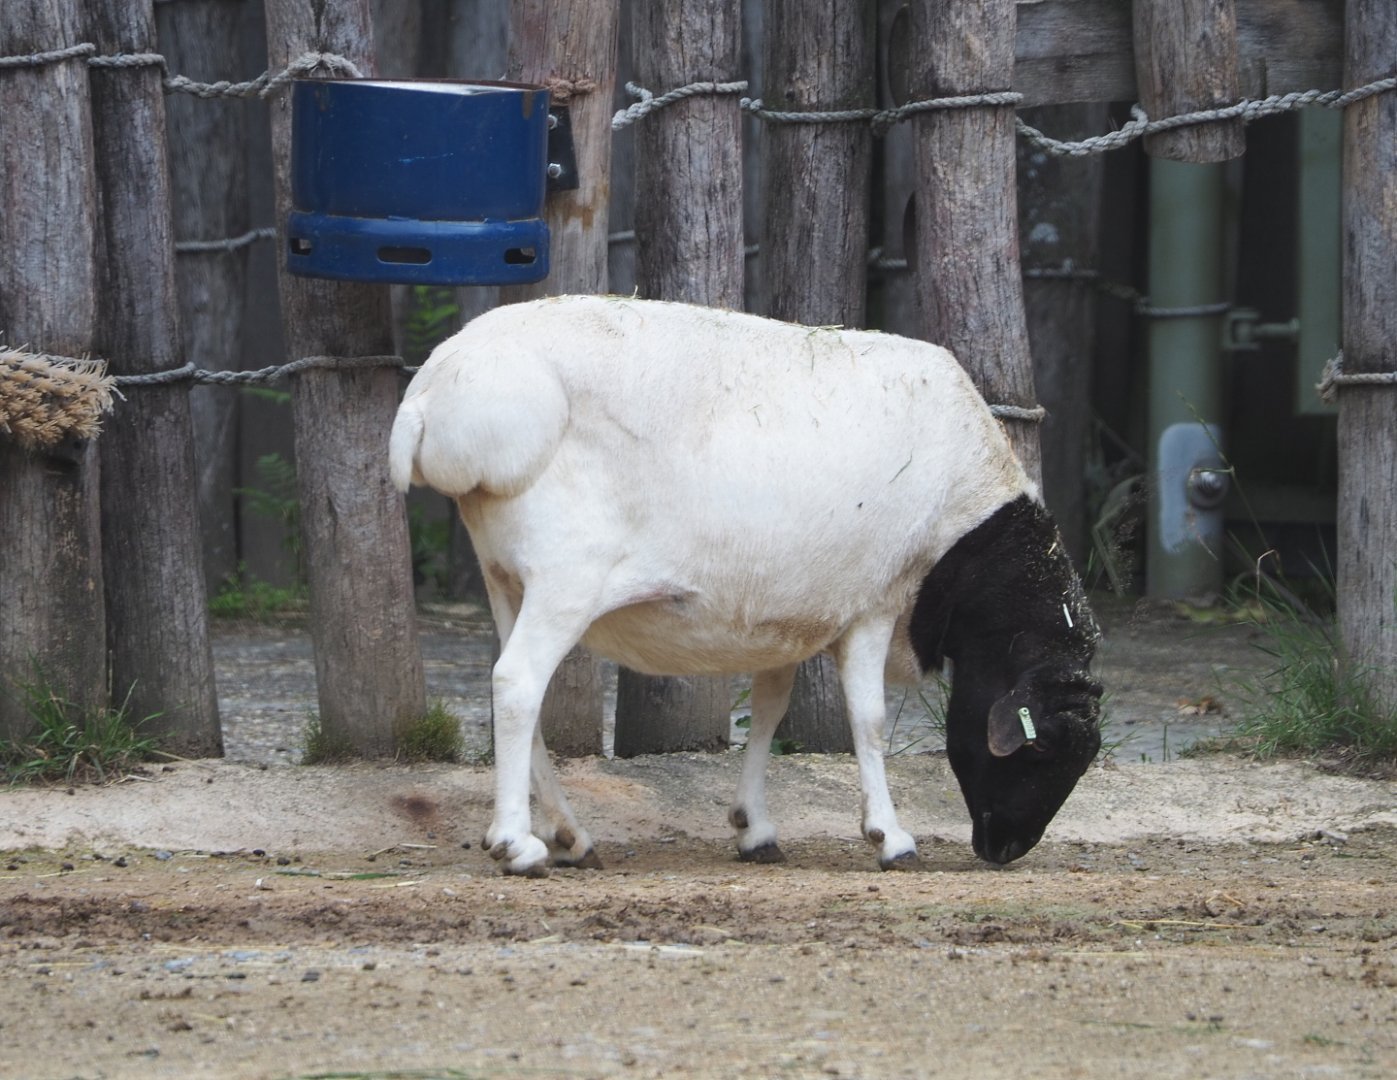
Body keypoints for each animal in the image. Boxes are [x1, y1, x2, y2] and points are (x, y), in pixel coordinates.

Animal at [389, 295, 1102, 875]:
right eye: (1044, 749)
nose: (1006, 850)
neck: (966, 524)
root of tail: (431, 395)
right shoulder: (874, 604)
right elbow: (868, 721)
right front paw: (891, 838)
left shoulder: (785, 615)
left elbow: (769, 709)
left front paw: (754, 829)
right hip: (567, 575)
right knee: (516, 686)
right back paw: (518, 846)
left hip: (504, 576)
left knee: (520, 697)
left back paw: (570, 836)